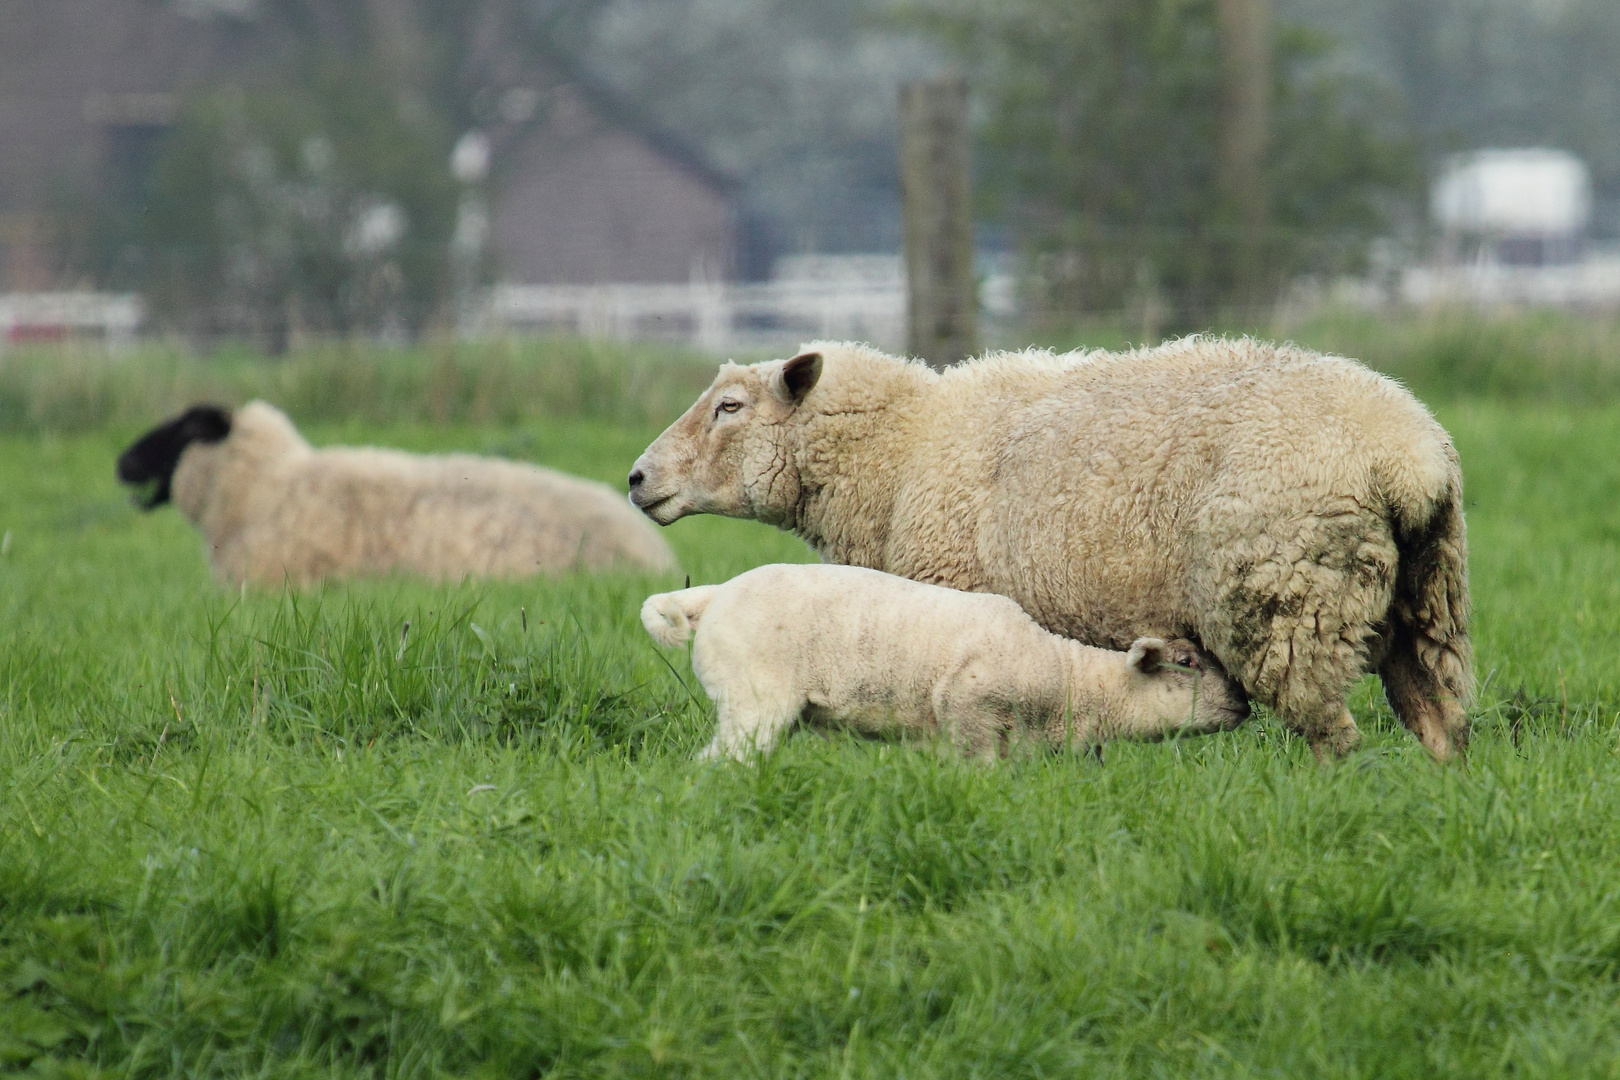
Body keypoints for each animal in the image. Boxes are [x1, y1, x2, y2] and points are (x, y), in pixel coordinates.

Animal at [638, 566, 1244, 761]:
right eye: (1187, 662)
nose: (1244, 704)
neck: (1068, 678)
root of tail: (711, 597)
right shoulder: (971, 713)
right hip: (752, 701)